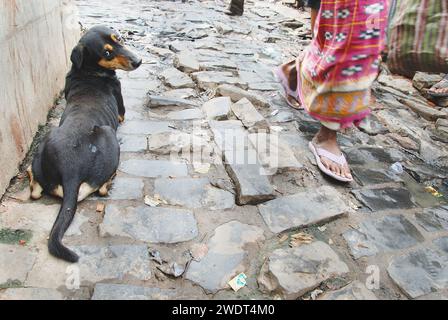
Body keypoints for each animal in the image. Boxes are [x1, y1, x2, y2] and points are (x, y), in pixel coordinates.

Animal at [28, 25, 142, 262]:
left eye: (119, 38)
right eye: (106, 53)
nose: (138, 61)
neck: (88, 71)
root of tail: (70, 170)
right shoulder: (120, 111)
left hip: (46, 142)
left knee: (34, 188)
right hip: (108, 133)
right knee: (101, 190)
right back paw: (110, 181)